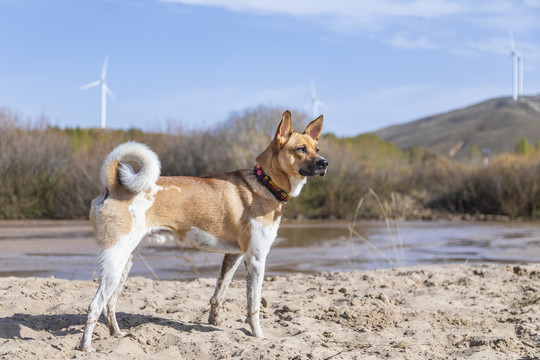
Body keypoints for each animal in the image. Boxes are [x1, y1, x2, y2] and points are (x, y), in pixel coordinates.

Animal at [78, 110, 326, 352]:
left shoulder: (234, 255)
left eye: (316, 149)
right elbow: (253, 306)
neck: (264, 183)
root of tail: (113, 185)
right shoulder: (256, 259)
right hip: (115, 261)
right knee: (94, 305)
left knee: (110, 303)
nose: (325, 163)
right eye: (301, 149)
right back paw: (85, 347)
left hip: (125, 261)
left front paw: (215, 323)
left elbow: (219, 294)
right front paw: (258, 336)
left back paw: (117, 335)